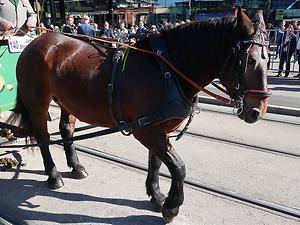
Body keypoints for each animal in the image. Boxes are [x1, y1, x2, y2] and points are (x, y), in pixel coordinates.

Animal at [7, 9, 270, 223]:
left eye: (267, 59)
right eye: (250, 60)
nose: (257, 110)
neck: (167, 70)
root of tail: (37, 41)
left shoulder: (159, 126)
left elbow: (156, 162)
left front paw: (156, 194)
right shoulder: (146, 130)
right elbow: (178, 167)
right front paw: (171, 206)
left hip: (67, 99)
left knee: (66, 130)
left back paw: (77, 166)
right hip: (37, 101)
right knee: (42, 136)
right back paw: (53, 175)